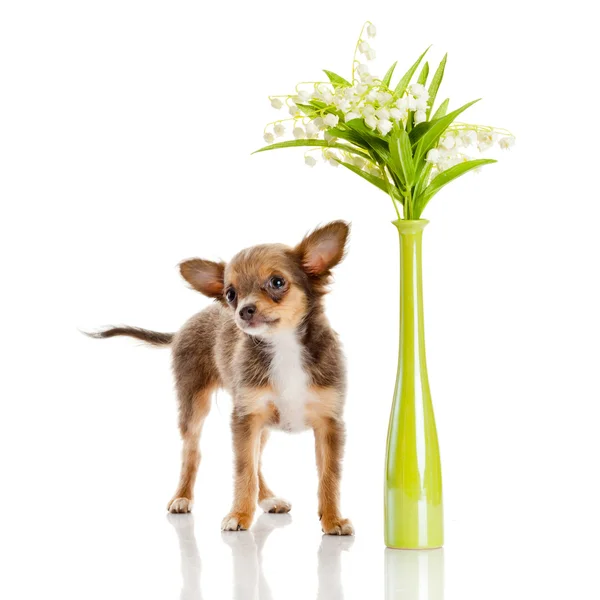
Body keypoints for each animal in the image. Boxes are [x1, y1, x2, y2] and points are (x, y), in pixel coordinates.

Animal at [89, 219, 352, 536]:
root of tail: (182, 329)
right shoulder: (245, 418)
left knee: (257, 459)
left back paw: (268, 499)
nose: (243, 311)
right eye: (230, 294)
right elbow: (243, 471)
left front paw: (333, 519)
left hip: (259, 422)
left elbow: (330, 476)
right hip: (195, 406)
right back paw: (182, 497)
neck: (283, 346)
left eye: (277, 282)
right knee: (194, 453)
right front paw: (239, 515)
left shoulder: (328, 423)